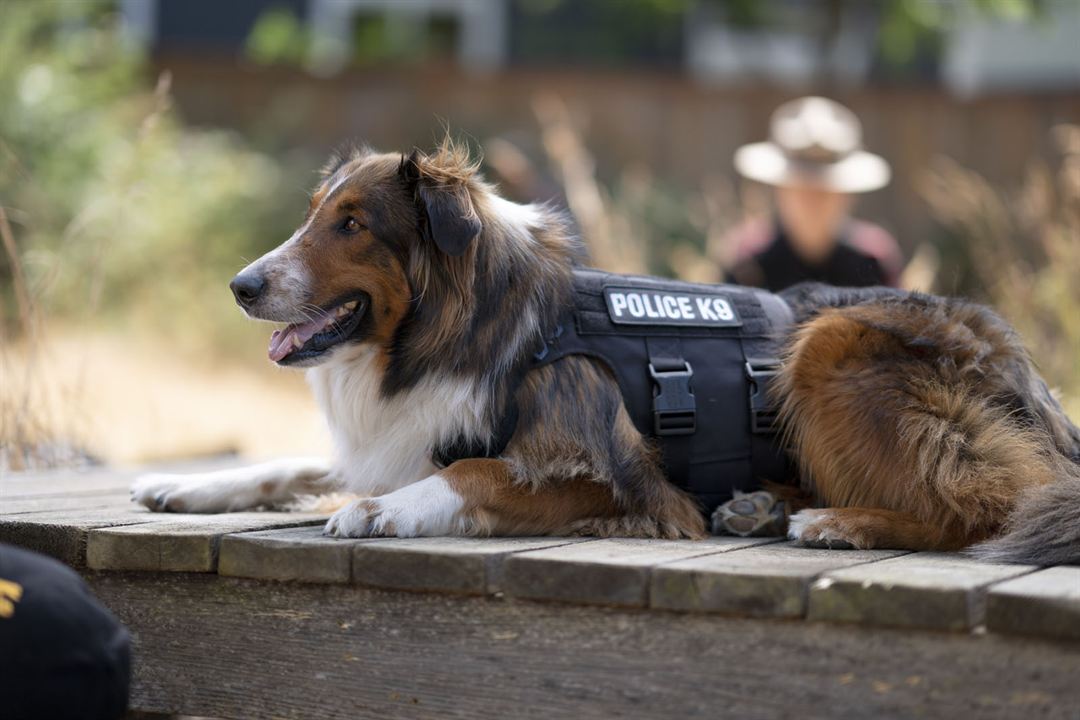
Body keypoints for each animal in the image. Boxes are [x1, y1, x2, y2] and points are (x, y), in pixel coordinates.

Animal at [132, 140, 1080, 561]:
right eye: (313, 217)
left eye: (354, 225)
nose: (241, 285)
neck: (462, 324)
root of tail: (1030, 374)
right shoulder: (397, 433)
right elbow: (292, 463)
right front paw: (185, 484)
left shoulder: (619, 477)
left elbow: (471, 472)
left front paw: (382, 509)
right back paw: (760, 509)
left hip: (830, 343)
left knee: (994, 501)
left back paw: (836, 522)